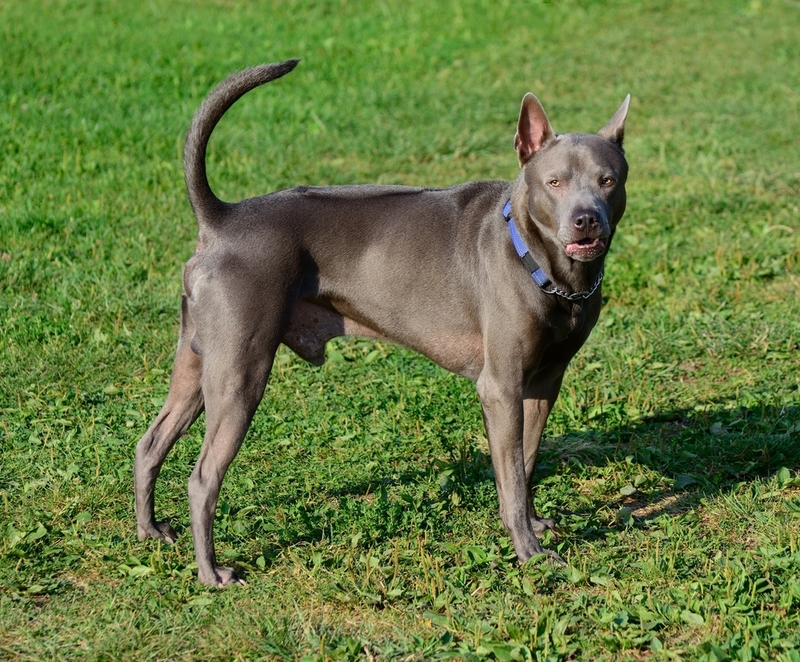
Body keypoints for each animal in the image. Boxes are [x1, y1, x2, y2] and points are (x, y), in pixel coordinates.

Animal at [134, 59, 628, 588]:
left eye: (608, 180)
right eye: (554, 183)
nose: (586, 220)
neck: (543, 266)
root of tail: (222, 219)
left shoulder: (544, 383)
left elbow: (527, 461)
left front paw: (534, 525)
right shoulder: (501, 387)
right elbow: (512, 476)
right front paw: (530, 552)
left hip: (196, 362)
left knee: (150, 443)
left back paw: (149, 531)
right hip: (239, 375)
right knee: (203, 477)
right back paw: (211, 573)